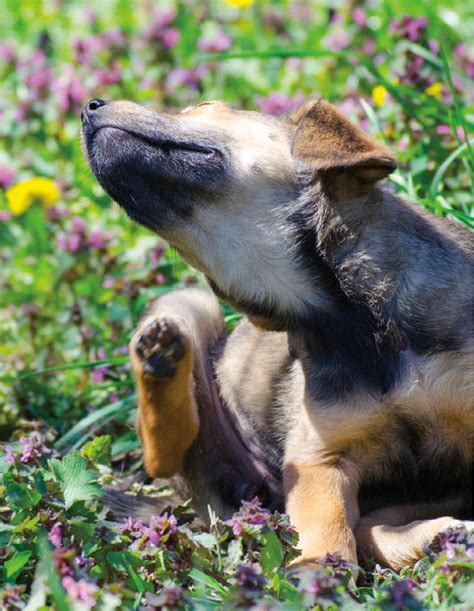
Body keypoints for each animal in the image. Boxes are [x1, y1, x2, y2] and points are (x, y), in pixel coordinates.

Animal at [82, 94, 474, 568]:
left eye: (206, 106)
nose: (88, 107)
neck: (350, 320)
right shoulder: (318, 459)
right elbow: (326, 528)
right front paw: (317, 570)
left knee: (371, 529)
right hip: (193, 304)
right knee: (164, 452)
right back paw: (160, 357)